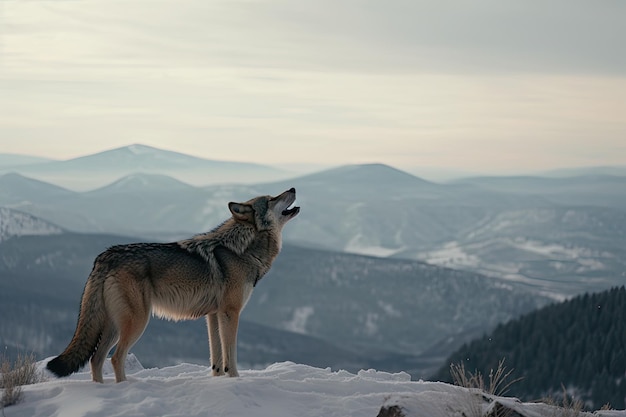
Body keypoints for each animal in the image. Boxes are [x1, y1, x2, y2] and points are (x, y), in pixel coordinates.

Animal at [45, 188, 298, 380]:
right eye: (272, 198)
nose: (293, 188)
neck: (243, 249)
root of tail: (104, 257)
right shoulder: (230, 312)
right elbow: (231, 356)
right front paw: (235, 380)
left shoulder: (213, 315)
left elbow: (217, 359)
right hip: (137, 322)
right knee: (115, 358)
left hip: (114, 325)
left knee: (96, 360)